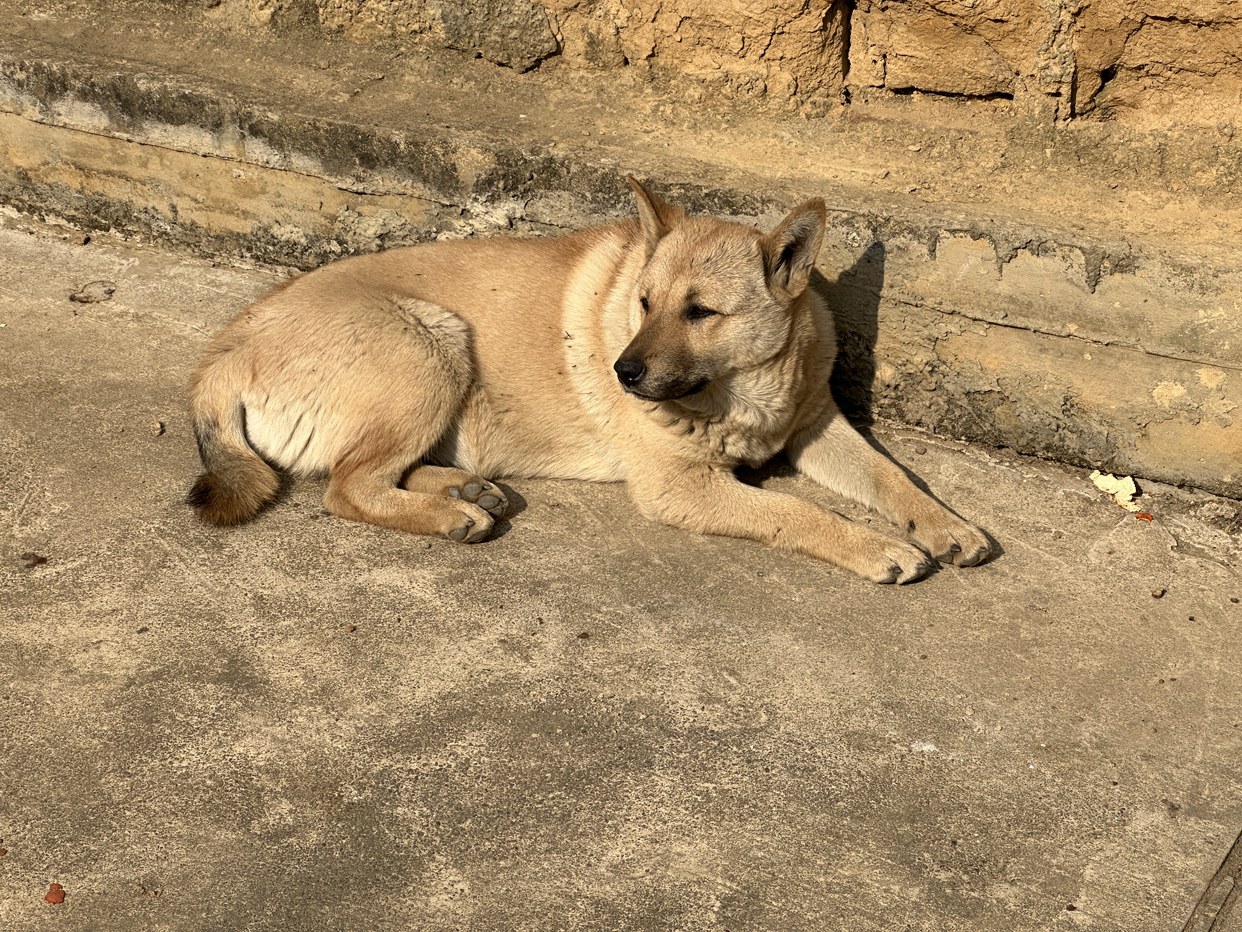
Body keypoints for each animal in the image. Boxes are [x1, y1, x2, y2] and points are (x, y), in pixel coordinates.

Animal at [188, 176, 993, 584]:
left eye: (700, 312)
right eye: (643, 302)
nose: (623, 372)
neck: (745, 391)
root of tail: (223, 352)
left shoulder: (818, 426)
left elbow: (895, 480)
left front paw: (948, 525)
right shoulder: (683, 489)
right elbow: (797, 512)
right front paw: (874, 547)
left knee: (369, 471)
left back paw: (464, 489)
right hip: (431, 345)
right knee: (346, 486)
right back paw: (451, 515)